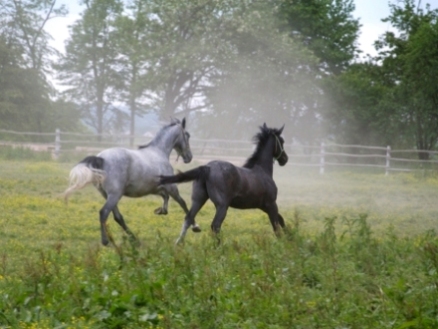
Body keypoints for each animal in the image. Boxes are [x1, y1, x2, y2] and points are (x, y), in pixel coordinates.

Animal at [63, 117, 200, 243]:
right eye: (187, 135)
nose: (189, 157)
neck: (159, 152)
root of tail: (101, 158)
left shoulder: (156, 188)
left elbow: (165, 197)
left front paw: (160, 210)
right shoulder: (171, 187)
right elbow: (183, 203)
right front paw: (195, 226)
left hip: (107, 195)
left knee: (117, 217)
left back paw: (134, 239)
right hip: (115, 195)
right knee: (104, 212)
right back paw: (106, 241)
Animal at [160, 121, 288, 242]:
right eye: (282, 141)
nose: (285, 159)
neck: (262, 170)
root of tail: (208, 168)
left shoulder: (263, 206)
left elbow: (280, 220)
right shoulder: (271, 204)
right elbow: (276, 225)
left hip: (198, 199)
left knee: (188, 218)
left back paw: (179, 244)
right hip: (222, 205)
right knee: (215, 225)